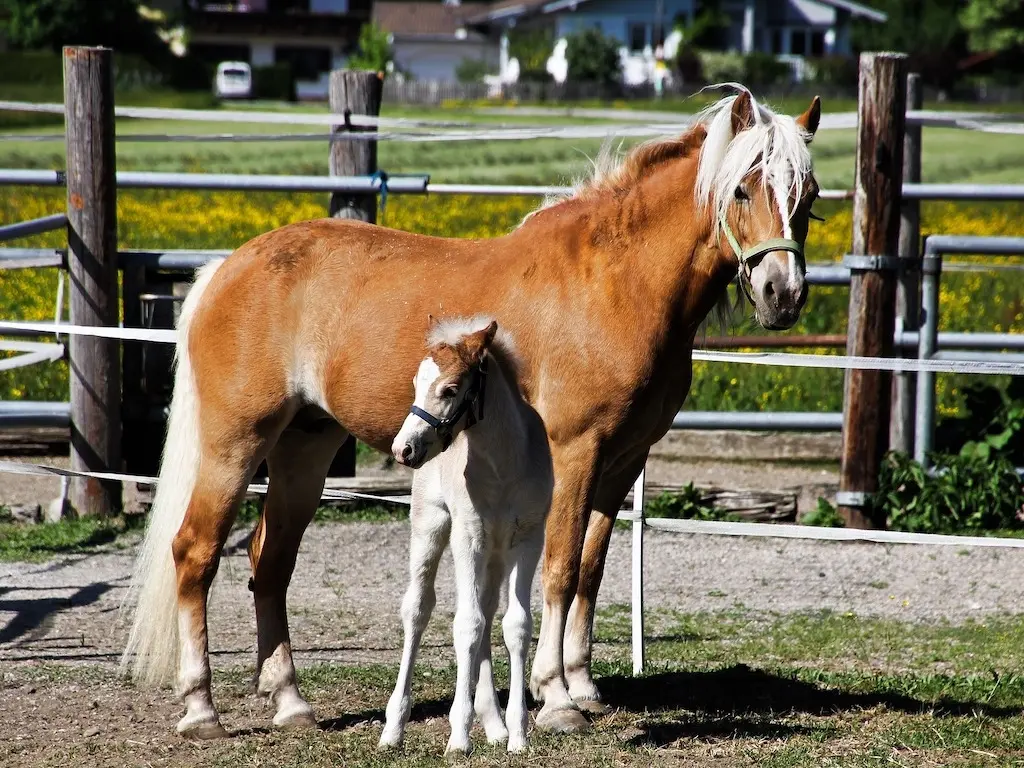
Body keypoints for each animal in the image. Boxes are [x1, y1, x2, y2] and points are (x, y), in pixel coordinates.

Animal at [378, 319, 552, 757]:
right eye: (415, 383)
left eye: (450, 389)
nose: (403, 449)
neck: (503, 465)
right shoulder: (468, 536)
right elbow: (467, 625)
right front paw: (458, 737)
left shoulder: (528, 540)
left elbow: (516, 625)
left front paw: (518, 735)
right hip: (432, 526)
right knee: (418, 609)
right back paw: (393, 729)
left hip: (495, 553)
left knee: (489, 610)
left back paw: (494, 725)